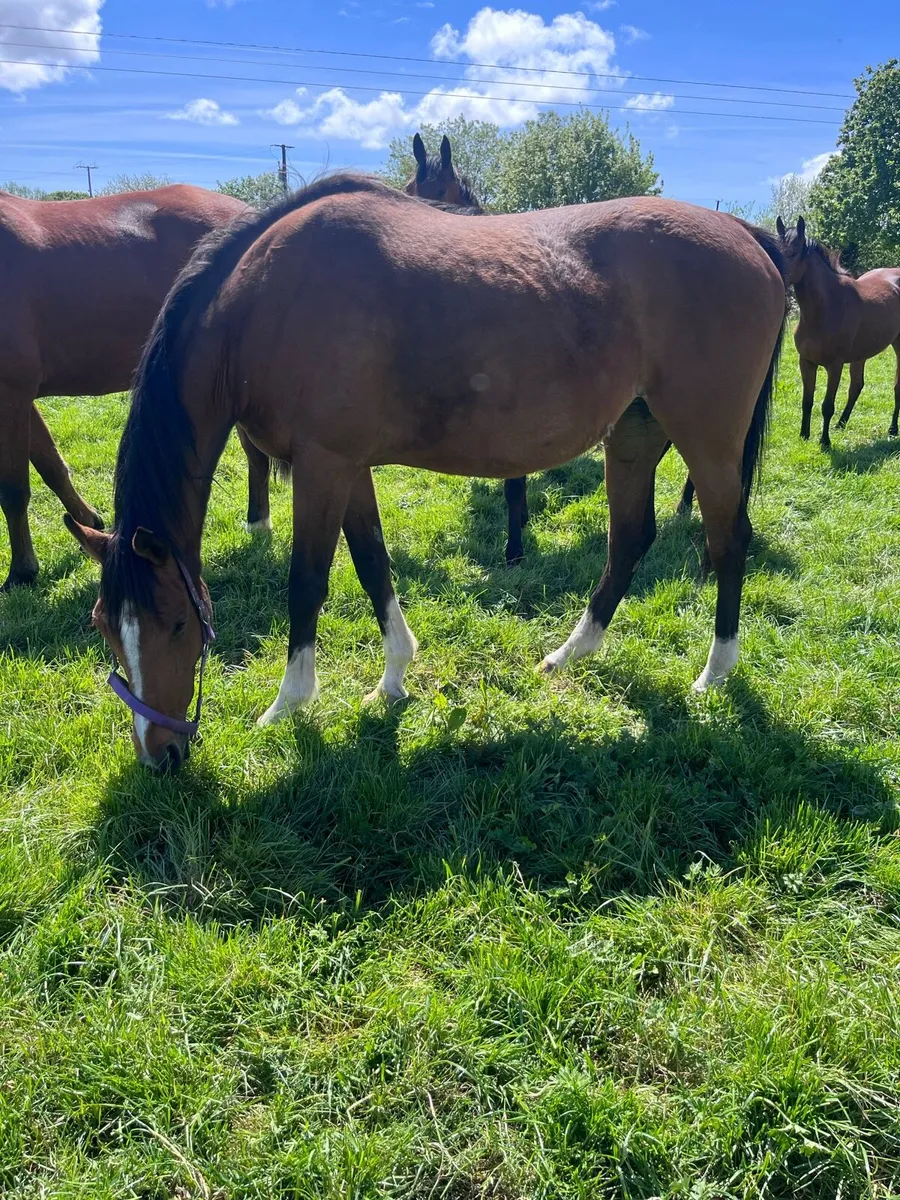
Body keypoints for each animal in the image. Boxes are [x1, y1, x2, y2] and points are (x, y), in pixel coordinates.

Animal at [0, 184, 273, 592]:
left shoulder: (10, 393)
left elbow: (15, 489)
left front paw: (21, 571)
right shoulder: (23, 398)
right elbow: (51, 466)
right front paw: (89, 522)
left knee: (256, 453)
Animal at [65, 174, 787, 770]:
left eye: (175, 624)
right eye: (104, 626)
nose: (159, 754)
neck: (264, 304)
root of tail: (748, 236)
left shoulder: (322, 466)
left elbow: (307, 583)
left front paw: (288, 703)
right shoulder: (349, 468)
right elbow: (372, 565)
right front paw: (391, 681)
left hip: (708, 442)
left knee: (728, 542)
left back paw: (714, 672)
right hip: (635, 434)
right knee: (630, 540)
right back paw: (569, 655)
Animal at [776, 216, 900, 448]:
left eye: (794, 252)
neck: (826, 307)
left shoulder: (835, 366)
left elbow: (827, 405)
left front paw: (824, 442)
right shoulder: (806, 362)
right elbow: (807, 401)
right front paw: (804, 435)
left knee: (896, 387)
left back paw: (892, 429)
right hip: (860, 354)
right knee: (857, 386)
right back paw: (841, 424)